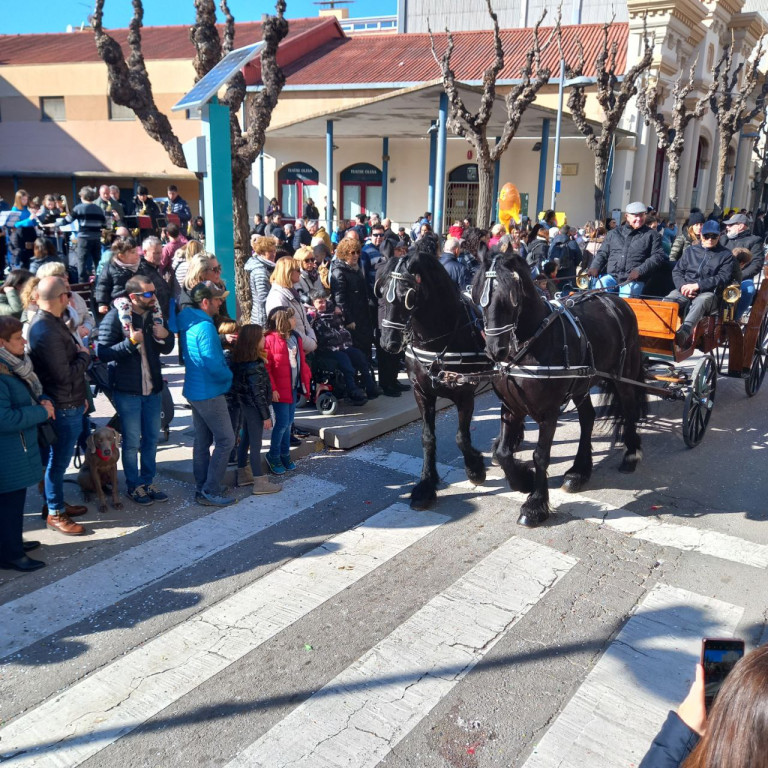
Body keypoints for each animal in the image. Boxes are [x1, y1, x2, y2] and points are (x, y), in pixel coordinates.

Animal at [378, 246, 492, 510]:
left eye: (406, 294)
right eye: (381, 290)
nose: (388, 342)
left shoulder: (465, 393)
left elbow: (461, 437)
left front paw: (475, 469)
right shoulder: (422, 392)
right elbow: (427, 438)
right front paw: (426, 485)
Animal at [472, 252, 644, 528]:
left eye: (511, 297)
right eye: (478, 297)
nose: (495, 349)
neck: (530, 344)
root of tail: (617, 300)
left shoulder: (549, 412)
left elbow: (541, 455)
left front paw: (534, 505)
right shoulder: (511, 407)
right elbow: (503, 451)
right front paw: (523, 481)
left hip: (624, 376)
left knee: (629, 409)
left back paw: (630, 455)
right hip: (582, 384)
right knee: (588, 418)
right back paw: (579, 471)